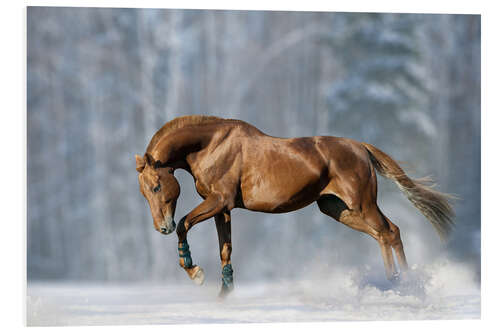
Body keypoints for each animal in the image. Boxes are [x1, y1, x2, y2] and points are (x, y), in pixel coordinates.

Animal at [135, 115, 456, 296]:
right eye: (144, 193)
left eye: (156, 186)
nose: (162, 227)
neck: (210, 145)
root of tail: (361, 148)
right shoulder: (223, 209)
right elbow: (225, 250)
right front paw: (225, 293)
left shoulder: (218, 201)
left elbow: (185, 223)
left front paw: (195, 272)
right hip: (339, 209)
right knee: (385, 233)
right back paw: (396, 282)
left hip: (362, 204)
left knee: (389, 232)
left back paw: (405, 285)